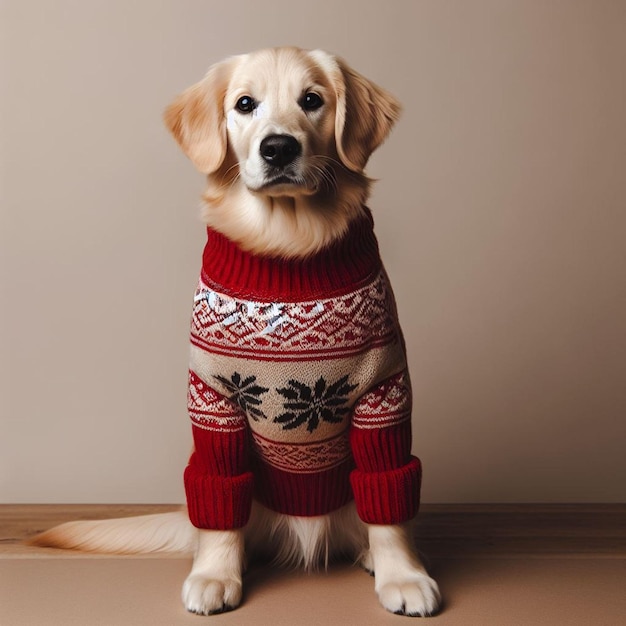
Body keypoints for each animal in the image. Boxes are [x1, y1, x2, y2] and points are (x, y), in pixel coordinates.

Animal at [29, 46, 438, 616]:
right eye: (245, 104)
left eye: (312, 100)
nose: (278, 147)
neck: (287, 247)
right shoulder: (215, 398)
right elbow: (221, 502)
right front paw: (215, 573)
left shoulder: (384, 393)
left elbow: (389, 500)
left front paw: (403, 574)